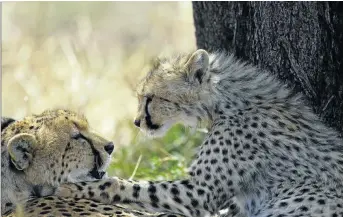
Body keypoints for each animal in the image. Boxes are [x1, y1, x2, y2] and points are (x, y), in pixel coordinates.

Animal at [57, 50, 343, 216]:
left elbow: (130, 185)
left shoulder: (199, 191)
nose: (137, 122)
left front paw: (75, 187)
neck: (225, 103)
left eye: (150, 98)